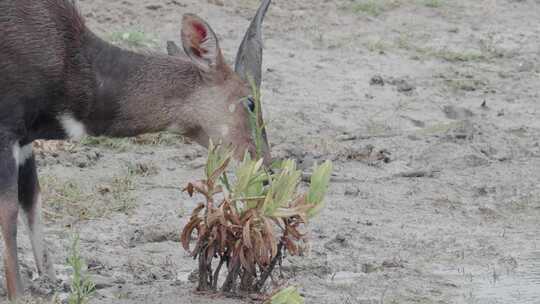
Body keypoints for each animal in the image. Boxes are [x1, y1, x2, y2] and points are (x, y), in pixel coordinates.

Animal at [0, 0, 270, 300]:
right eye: (250, 102)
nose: (266, 170)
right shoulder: (7, 129)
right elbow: (9, 212)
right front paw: (18, 295)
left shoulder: (25, 141)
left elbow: (31, 201)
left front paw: (50, 282)